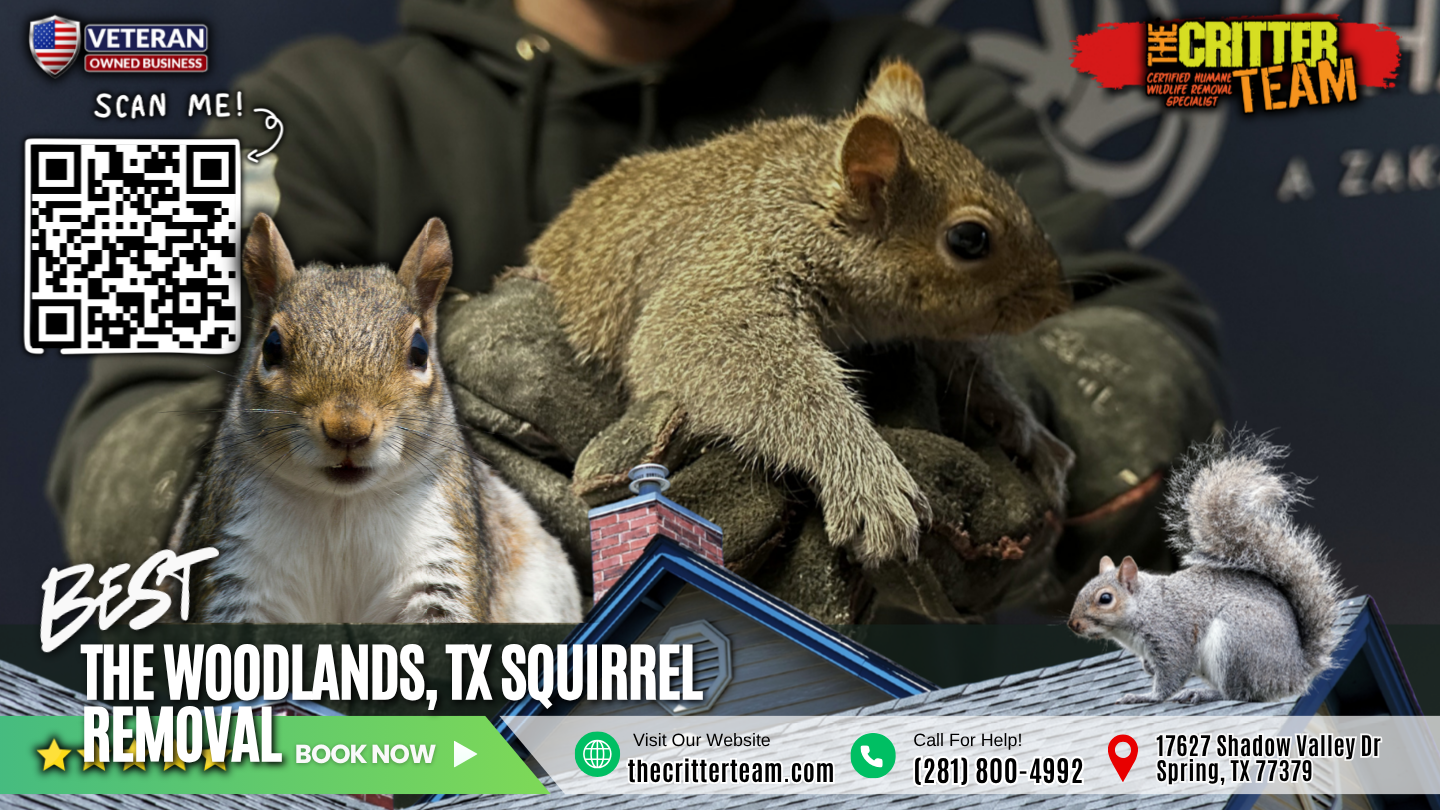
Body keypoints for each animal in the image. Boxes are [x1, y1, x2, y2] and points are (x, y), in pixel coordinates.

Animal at [169, 214, 582, 624]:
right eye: (271, 348)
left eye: (419, 351)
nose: (347, 429)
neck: (340, 507)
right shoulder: (236, 561)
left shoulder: (441, 554)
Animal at [526, 59, 1074, 567]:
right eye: (969, 239)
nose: (1058, 300)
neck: (803, 202)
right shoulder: (725, 273)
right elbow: (709, 346)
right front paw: (868, 481)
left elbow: (966, 361)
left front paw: (1030, 432)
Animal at [1068, 433, 1346, 704]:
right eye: (1080, 591)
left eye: (1105, 598)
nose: (1073, 625)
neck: (1144, 607)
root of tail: (1295, 673)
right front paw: (1146, 669)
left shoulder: (1170, 635)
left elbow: (1173, 673)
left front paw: (1144, 696)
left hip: (1236, 641)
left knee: (1239, 693)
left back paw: (1203, 693)